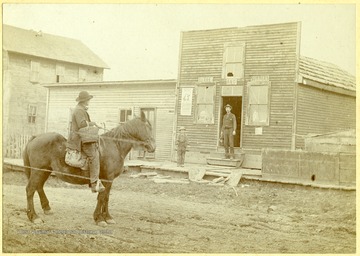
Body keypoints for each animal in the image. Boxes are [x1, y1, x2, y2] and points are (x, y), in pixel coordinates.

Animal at [23, 112, 155, 226]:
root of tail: (35, 137)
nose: (153, 147)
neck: (114, 146)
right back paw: (34, 217)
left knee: (39, 187)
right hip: (38, 171)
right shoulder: (107, 179)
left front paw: (107, 217)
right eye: (148, 126)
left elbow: (106, 197)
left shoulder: (109, 180)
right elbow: (102, 197)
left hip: (45, 171)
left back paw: (46, 209)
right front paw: (99, 218)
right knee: (30, 190)